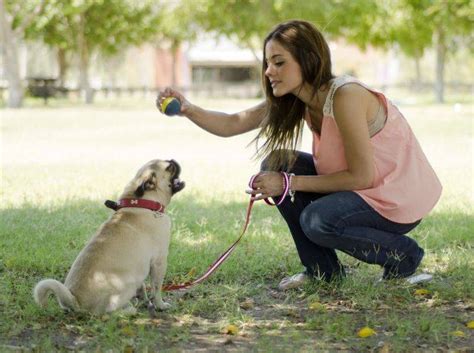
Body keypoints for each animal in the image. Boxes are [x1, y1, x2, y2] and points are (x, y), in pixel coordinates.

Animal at [33, 160, 184, 314]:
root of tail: (76, 301)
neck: (144, 203)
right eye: (170, 167)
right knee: (110, 312)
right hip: (127, 283)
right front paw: (160, 305)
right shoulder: (159, 262)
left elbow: (143, 287)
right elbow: (157, 288)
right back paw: (129, 309)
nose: (174, 160)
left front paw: (145, 299)